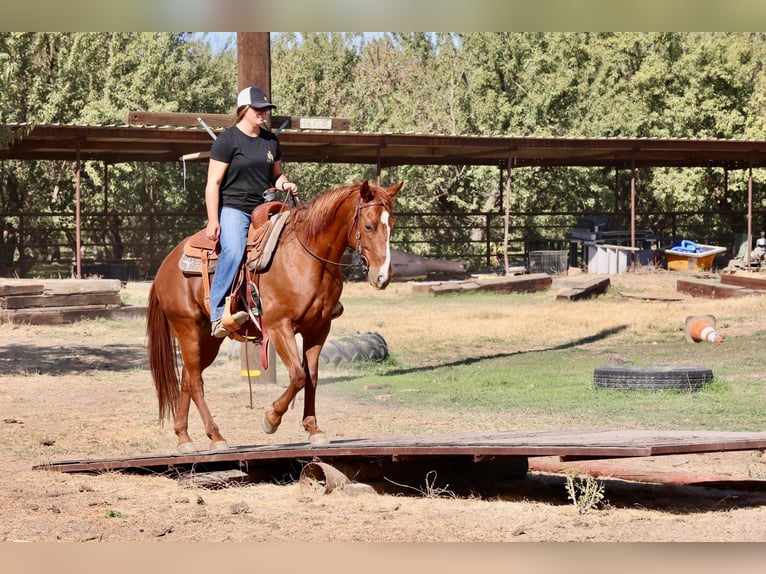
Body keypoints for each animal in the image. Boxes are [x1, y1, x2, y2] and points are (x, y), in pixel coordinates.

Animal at [146, 180, 401, 452]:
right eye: (368, 225)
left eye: (392, 224)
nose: (383, 276)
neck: (306, 256)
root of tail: (164, 267)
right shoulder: (280, 327)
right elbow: (298, 376)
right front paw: (271, 419)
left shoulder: (318, 329)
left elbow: (311, 377)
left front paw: (313, 429)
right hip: (188, 329)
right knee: (195, 382)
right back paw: (216, 436)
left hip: (209, 338)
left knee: (187, 376)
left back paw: (184, 438)